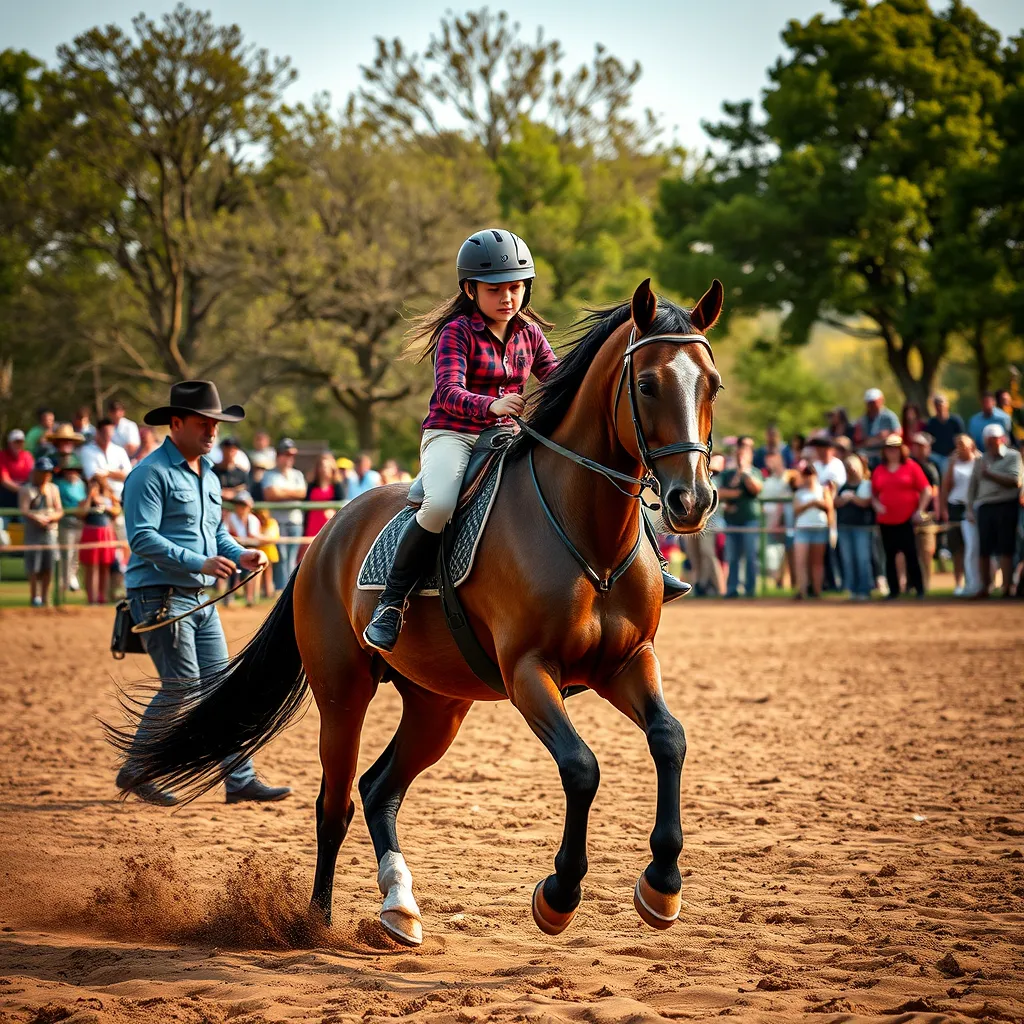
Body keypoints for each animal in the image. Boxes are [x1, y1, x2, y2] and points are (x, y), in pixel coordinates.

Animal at [110, 277, 723, 947]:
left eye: (712, 384)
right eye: (648, 384)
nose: (691, 501)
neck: (587, 532)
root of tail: (325, 536)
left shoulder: (628, 662)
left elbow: (669, 739)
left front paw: (662, 886)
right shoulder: (530, 673)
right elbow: (581, 767)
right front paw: (558, 895)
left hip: (438, 705)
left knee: (379, 790)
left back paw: (399, 907)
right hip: (344, 694)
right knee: (335, 803)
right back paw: (317, 921)